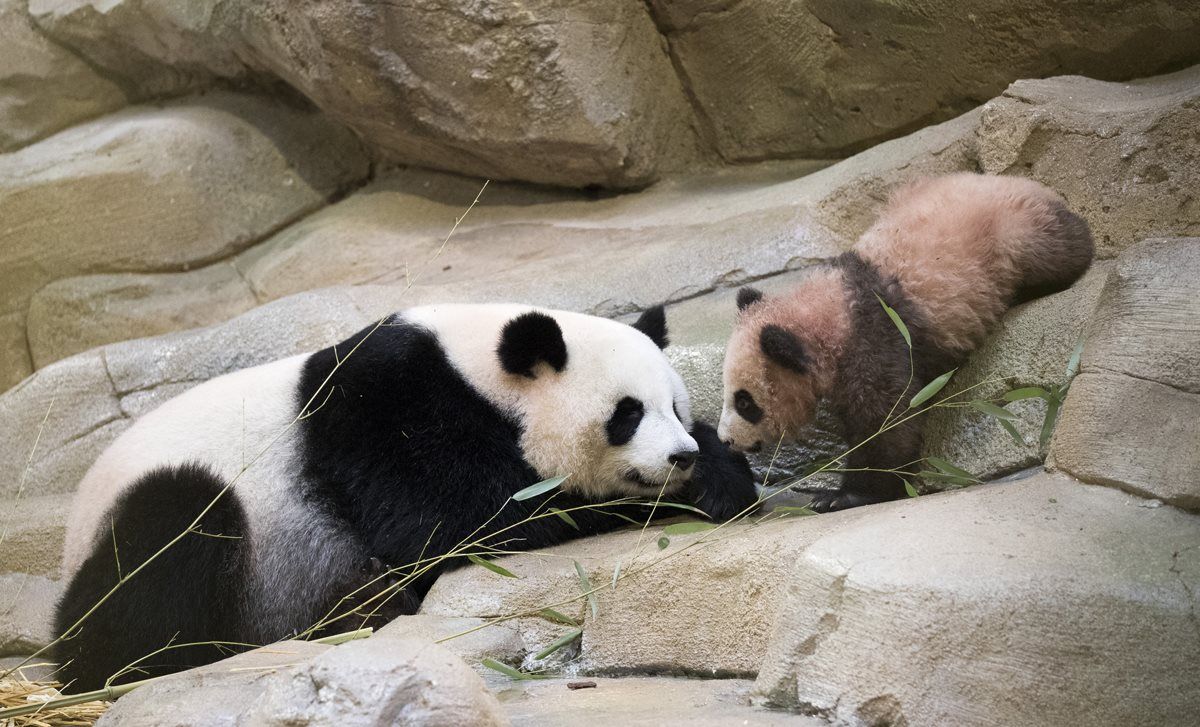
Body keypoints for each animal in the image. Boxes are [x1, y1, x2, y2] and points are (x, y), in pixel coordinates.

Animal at [55, 303, 757, 691]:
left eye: (675, 407)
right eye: (626, 414)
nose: (679, 457)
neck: (476, 366)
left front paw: (721, 475)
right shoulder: (386, 409)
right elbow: (457, 521)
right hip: (179, 521)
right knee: (166, 537)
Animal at [718, 173, 1094, 512]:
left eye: (745, 402)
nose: (726, 440)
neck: (826, 309)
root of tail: (1026, 183)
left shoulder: (875, 335)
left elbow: (887, 420)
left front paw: (842, 495)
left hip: (1014, 233)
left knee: (1057, 252)